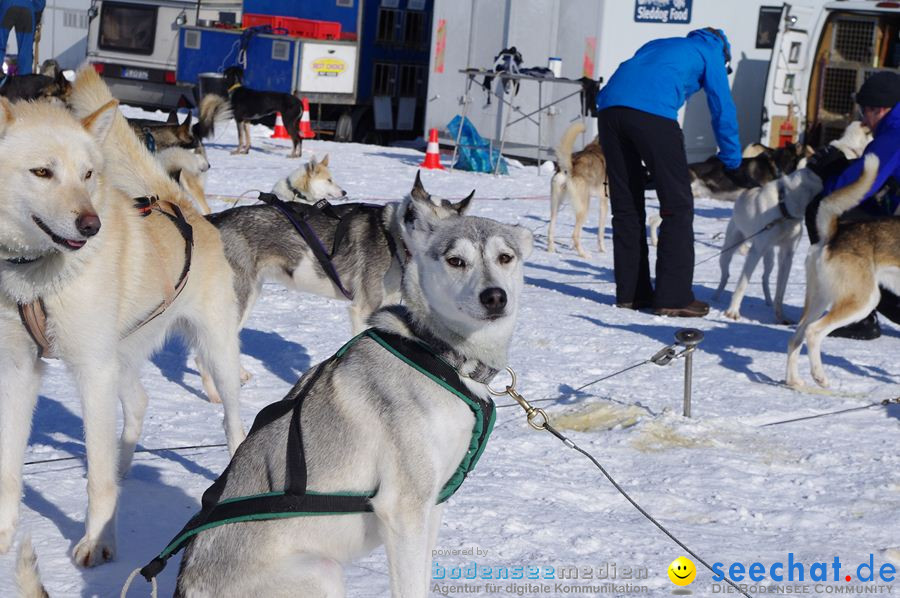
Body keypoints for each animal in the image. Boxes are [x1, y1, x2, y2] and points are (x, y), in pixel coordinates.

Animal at [712, 121, 872, 324]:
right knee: (726, 275)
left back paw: (768, 302)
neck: (785, 206)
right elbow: (742, 283)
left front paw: (781, 316)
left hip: (770, 258)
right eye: (844, 158)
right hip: (731, 250)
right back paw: (717, 296)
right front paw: (733, 311)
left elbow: (781, 291)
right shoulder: (756, 252)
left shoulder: (787, 255)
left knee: (765, 278)